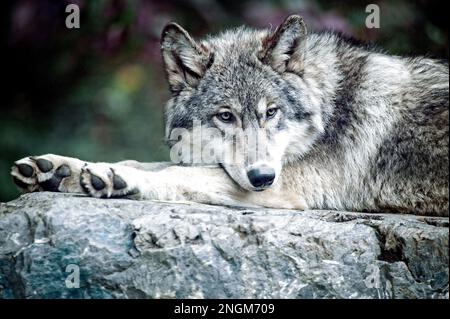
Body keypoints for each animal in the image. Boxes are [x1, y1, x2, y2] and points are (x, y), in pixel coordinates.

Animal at [8, 15, 448, 218]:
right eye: (225, 117)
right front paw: (59, 169)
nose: (262, 177)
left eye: (271, 113)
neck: (333, 103)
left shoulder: (289, 187)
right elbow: (148, 162)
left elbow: (176, 175)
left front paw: (114, 178)